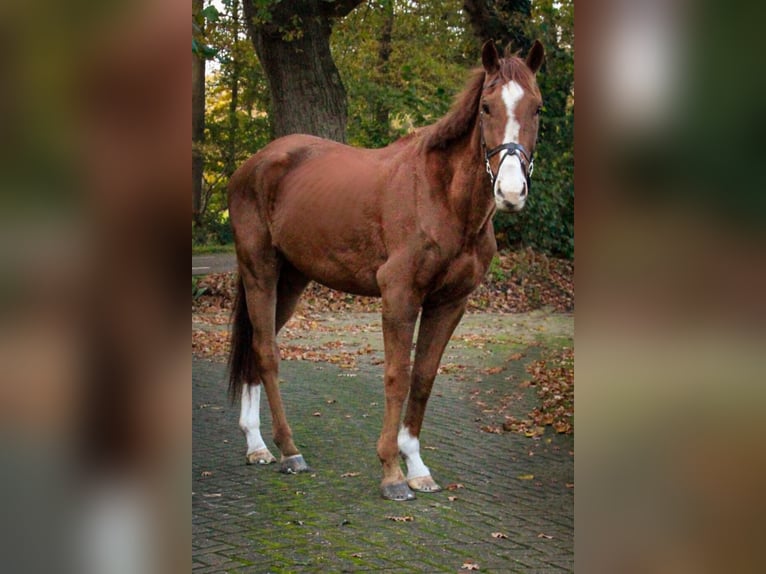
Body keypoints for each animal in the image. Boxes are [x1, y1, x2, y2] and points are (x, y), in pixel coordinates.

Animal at [228, 40, 544, 502]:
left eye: (537, 108)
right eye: (486, 107)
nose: (510, 191)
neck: (441, 198)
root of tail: (254, 164)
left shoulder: (449, 304)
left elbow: (424, 378)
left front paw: (417, 466)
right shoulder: (400, 296)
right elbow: (398, 377)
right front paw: (392, 473)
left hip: (291, 281)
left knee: (255, 345)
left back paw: (256, 446)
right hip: (260, 272)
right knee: (267, 352)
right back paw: (288, 450)